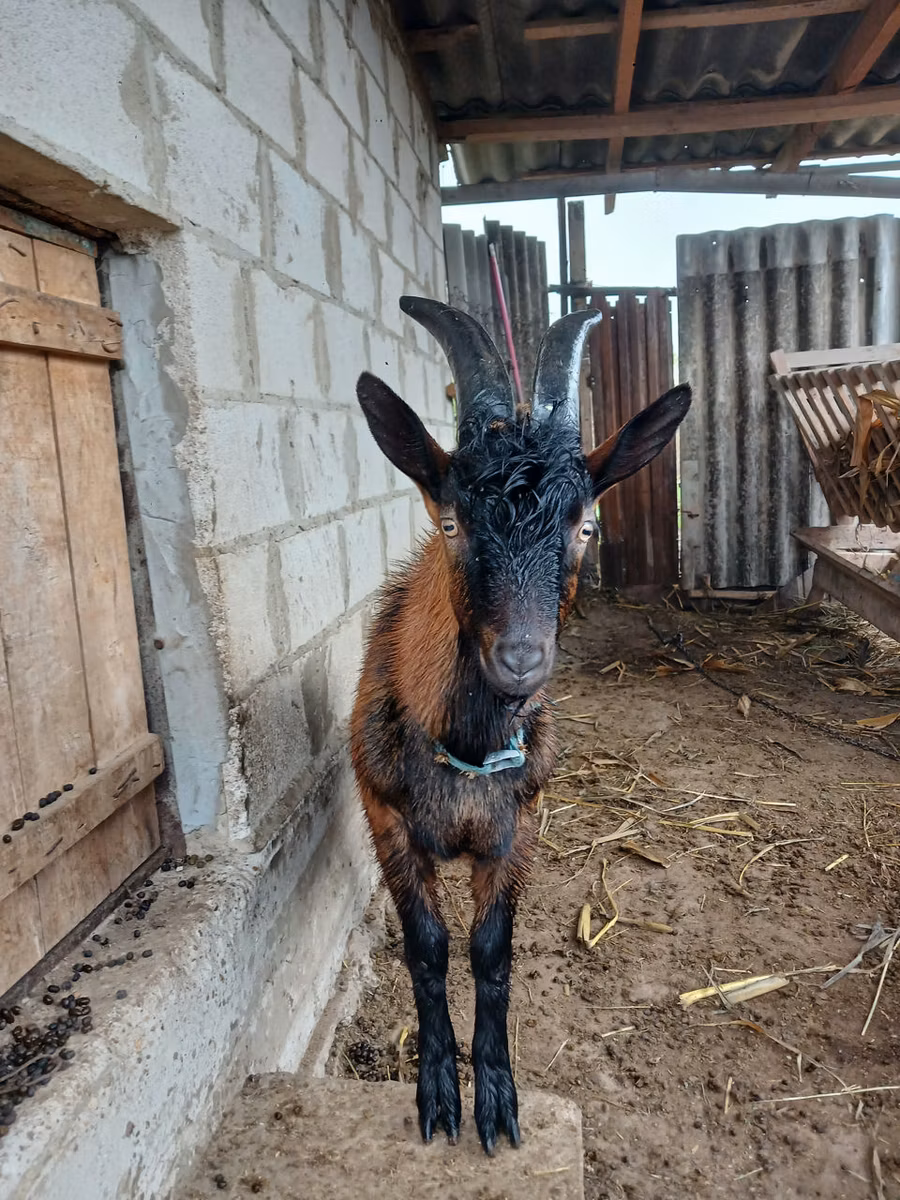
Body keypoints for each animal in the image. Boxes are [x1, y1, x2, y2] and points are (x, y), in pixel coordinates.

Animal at [351, 297, 691, 1155]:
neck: (467, 754)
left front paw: (497, 1100)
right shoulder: (386, 820)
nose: (521, 658)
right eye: (451, 522)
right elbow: (428, 948)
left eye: (585, 526)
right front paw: (438, 1093)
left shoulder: (519, 829)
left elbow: (490, 951)